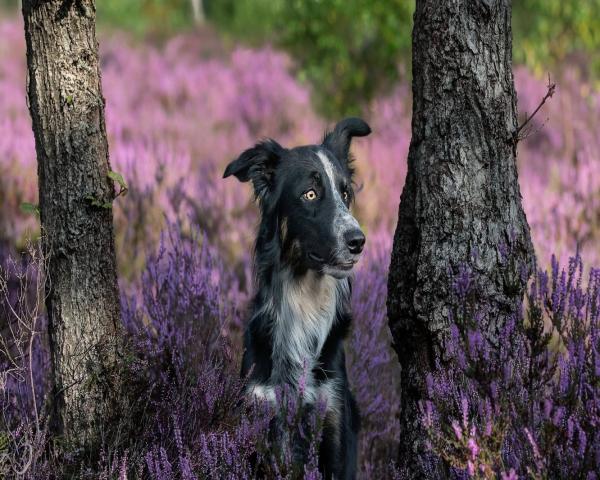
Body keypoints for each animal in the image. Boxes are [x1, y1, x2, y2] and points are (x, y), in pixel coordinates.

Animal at [224, 117, 370, 480]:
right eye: (311, 194)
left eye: (345, 193)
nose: (358, 241)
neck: (304, 302)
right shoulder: (262, 413)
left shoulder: (333, 419)